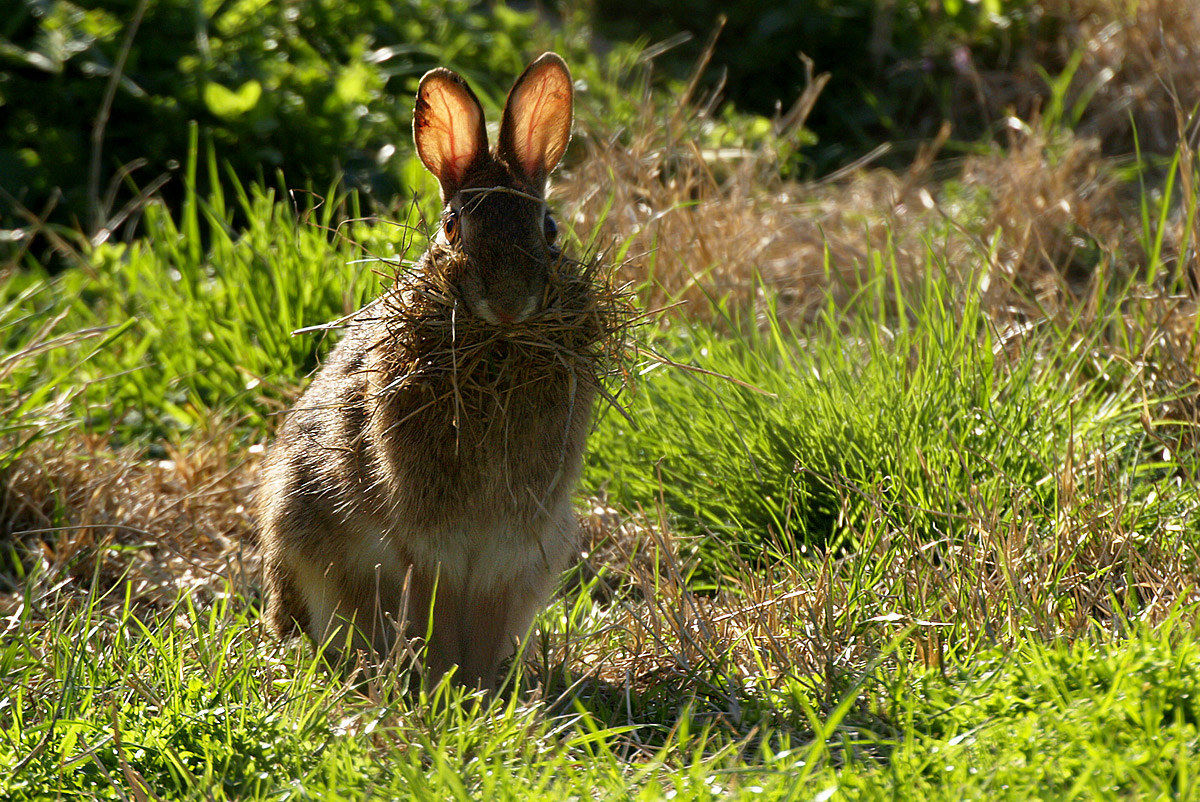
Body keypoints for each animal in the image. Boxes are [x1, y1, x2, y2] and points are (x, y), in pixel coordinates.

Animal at [256, 53, 590, 689]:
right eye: (453, 227)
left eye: (550, 230)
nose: (508, 304)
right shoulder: (426, 545)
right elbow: (432, 607)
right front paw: (442, 683)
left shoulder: (510, 555)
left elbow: (484, 623)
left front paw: (477, 688)